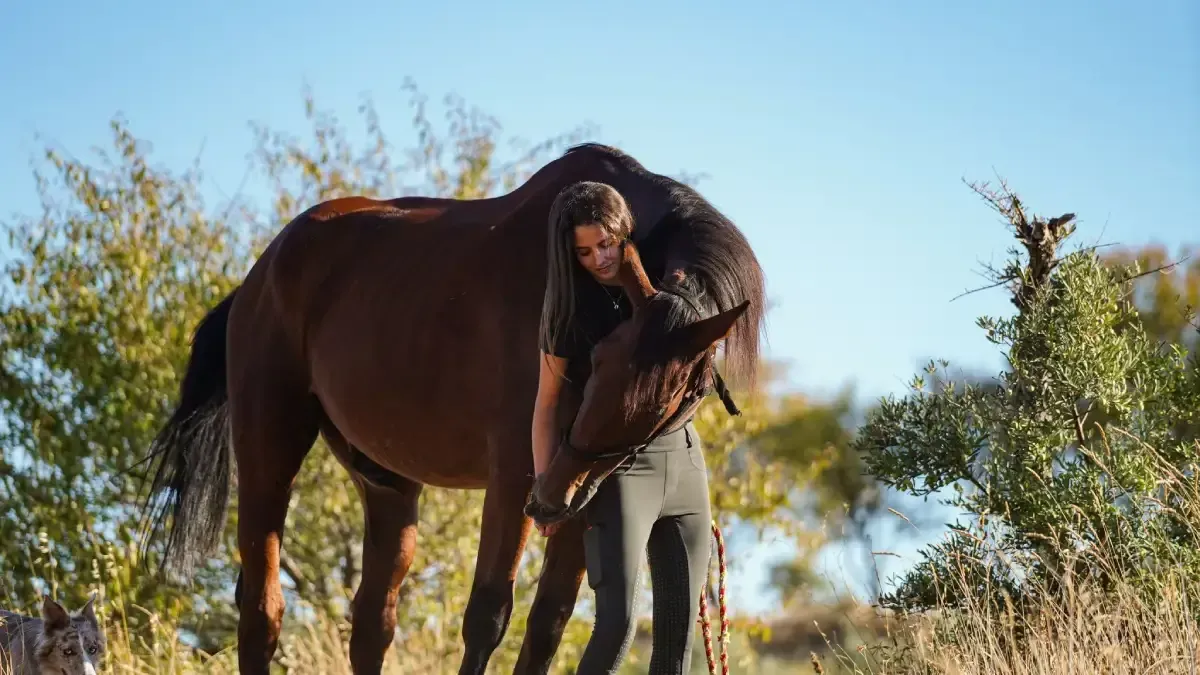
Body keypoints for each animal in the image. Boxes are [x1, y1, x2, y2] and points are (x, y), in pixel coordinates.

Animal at [136, 142, 766, 675]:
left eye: (674, 395)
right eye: (600, 358)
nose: (552, 496)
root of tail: (258, 275)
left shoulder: (583, 498)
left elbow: (548, 624)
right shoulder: (516, 476)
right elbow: (488, 615)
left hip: (388, 483)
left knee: (372, 621)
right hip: (271, 449)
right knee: (262, 607)